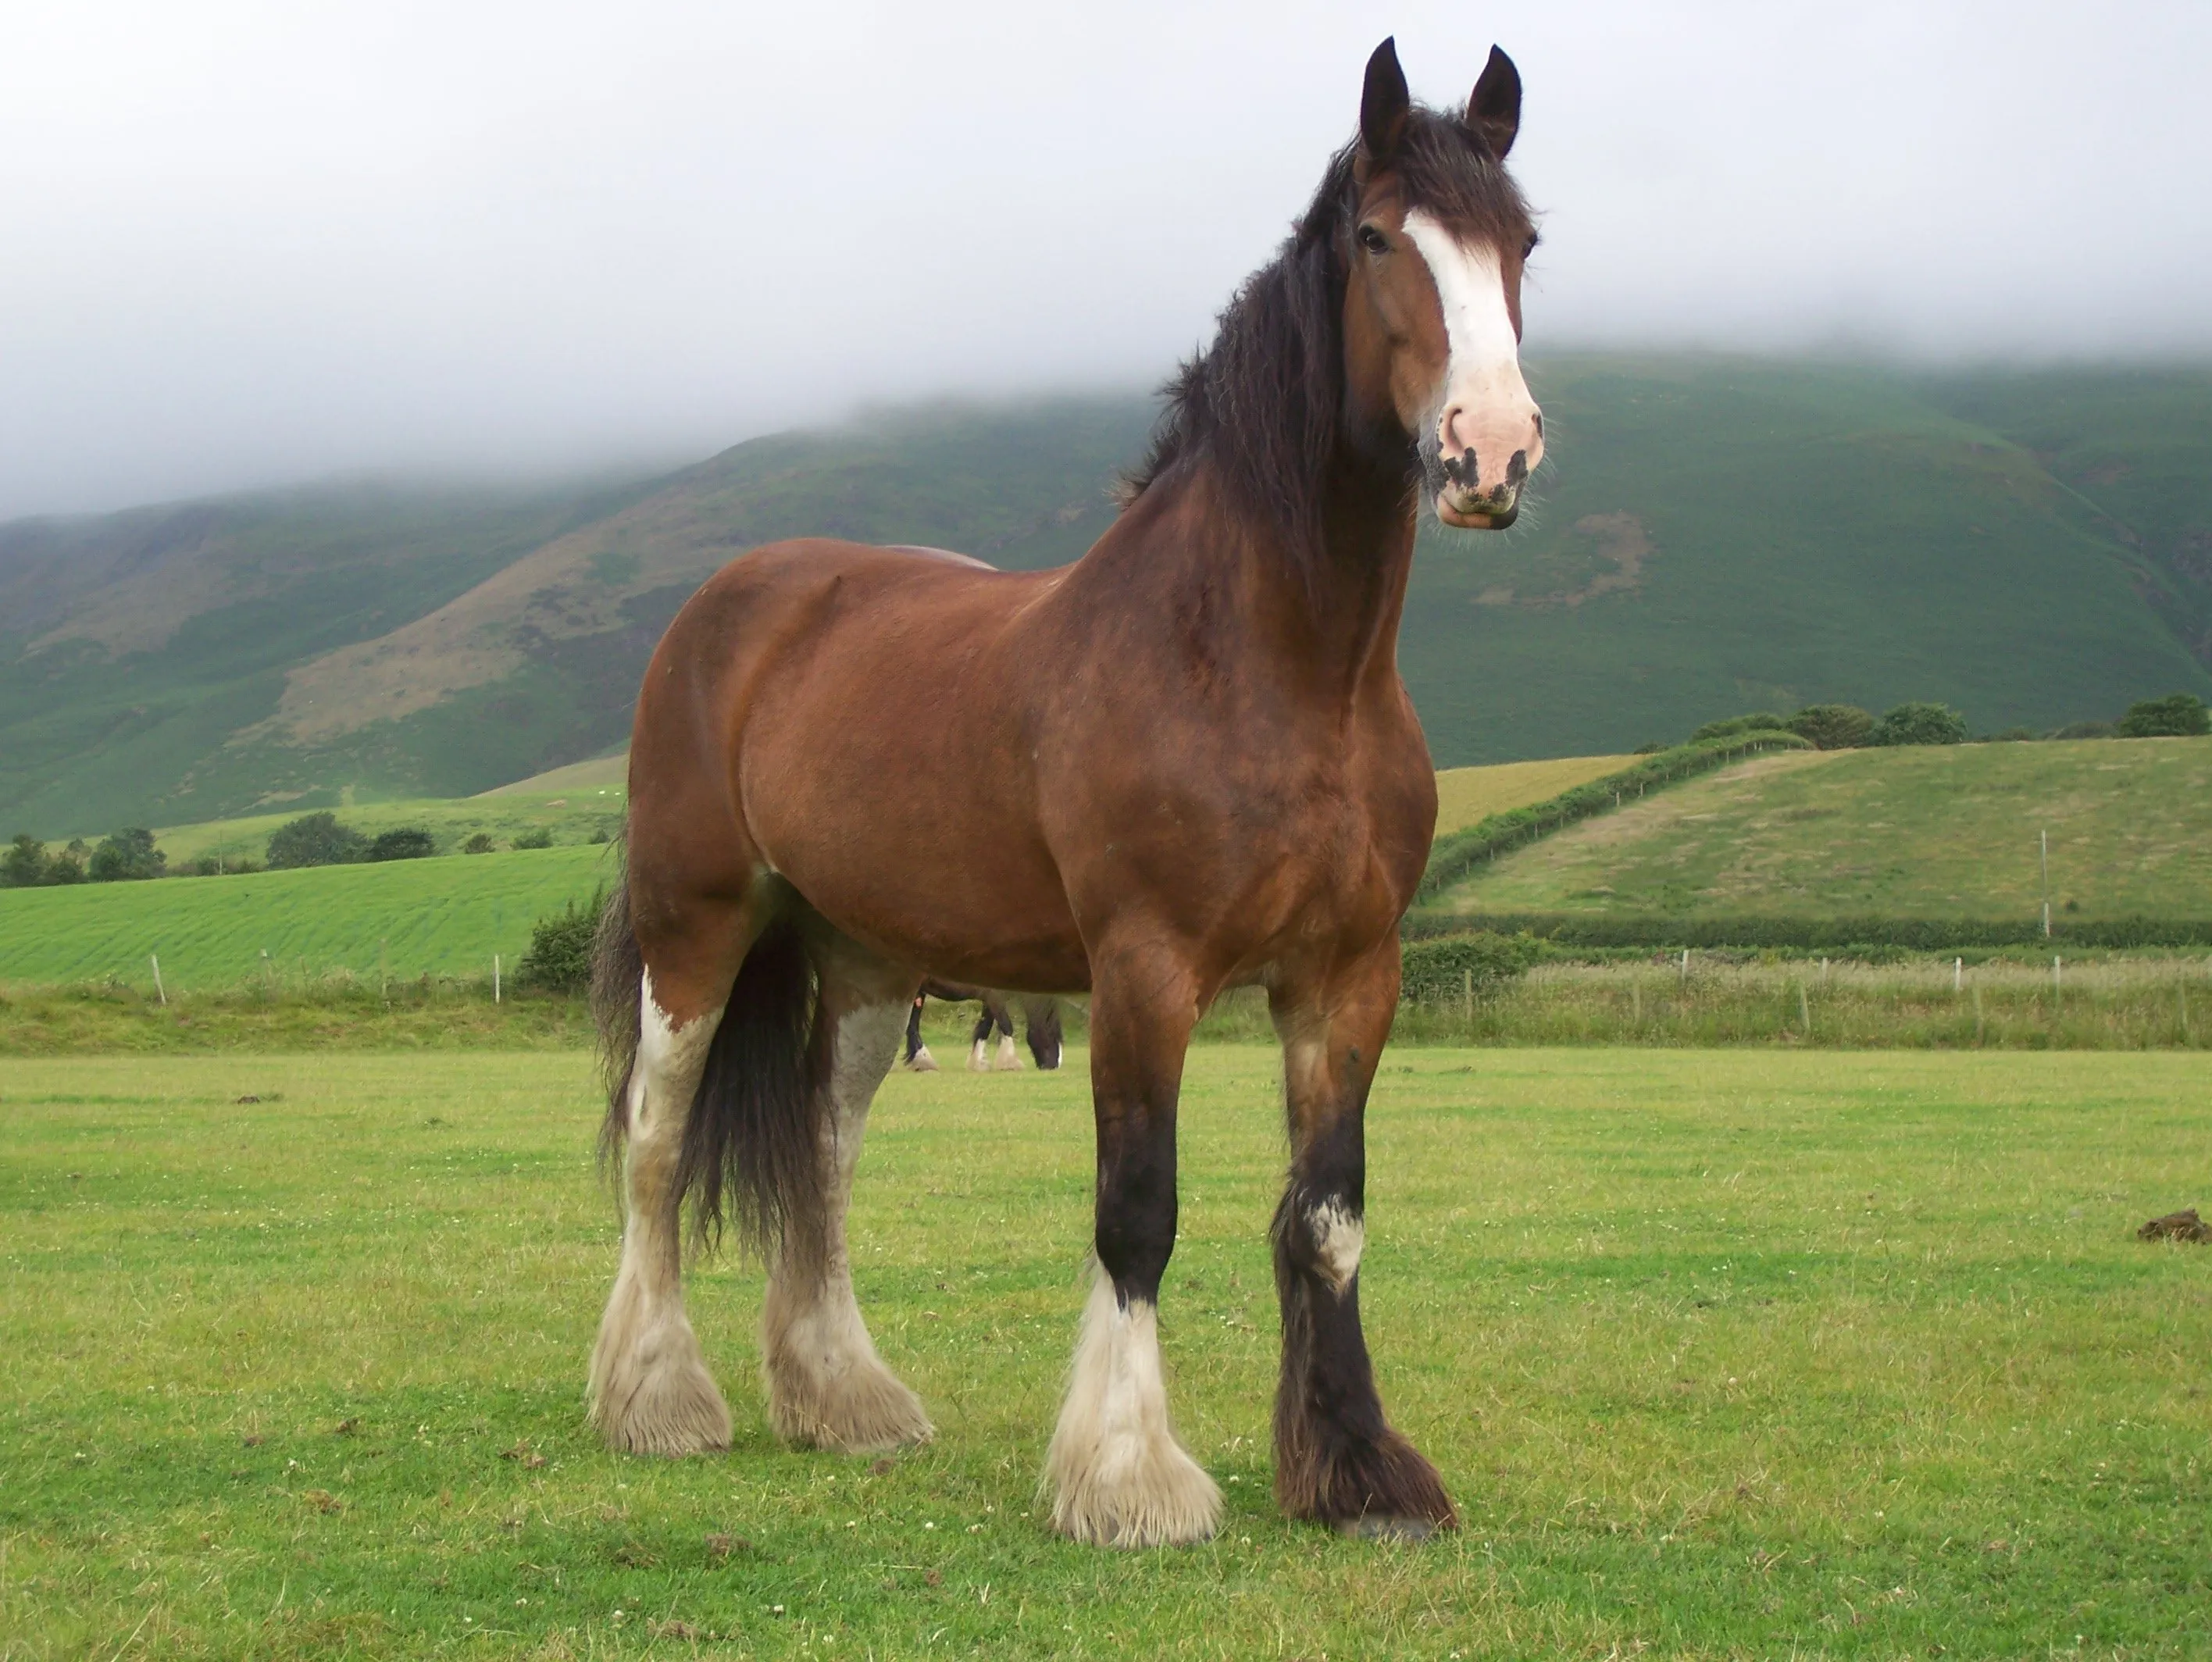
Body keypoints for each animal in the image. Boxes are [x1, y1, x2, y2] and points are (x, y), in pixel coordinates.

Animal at [902, 983, 1066, 1071]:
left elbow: (984, 1027)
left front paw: (978, 1063)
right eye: (1052, 1035)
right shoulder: (994, 996)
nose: (1053, 1066)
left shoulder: (988, 999)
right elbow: (1006, 1026)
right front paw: (1010, 1063)